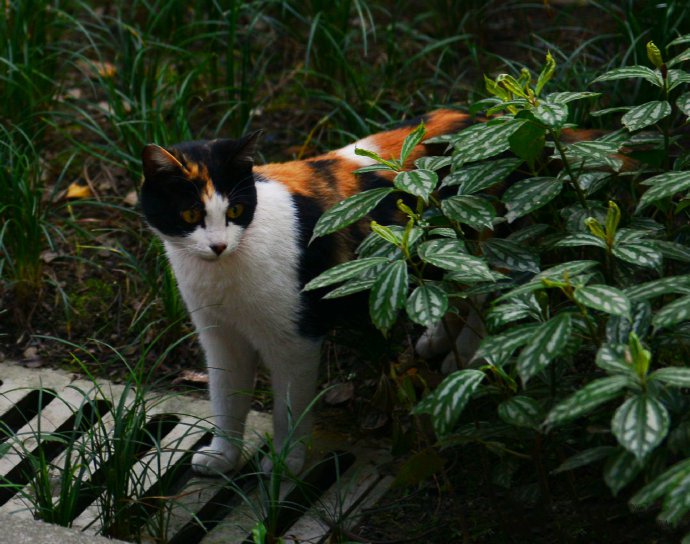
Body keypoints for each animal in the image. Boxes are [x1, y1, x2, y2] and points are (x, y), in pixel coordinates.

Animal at [141, 108, 472, 474]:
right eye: (190, 214)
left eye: (235, 211)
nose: (218, 245)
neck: (223, 275)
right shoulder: (220, 337)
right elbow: (227, 400)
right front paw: (222, 456)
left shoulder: (296, 342)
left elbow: (289, 410)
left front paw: (285, 462)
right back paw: (439, 340)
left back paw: (466, 359)